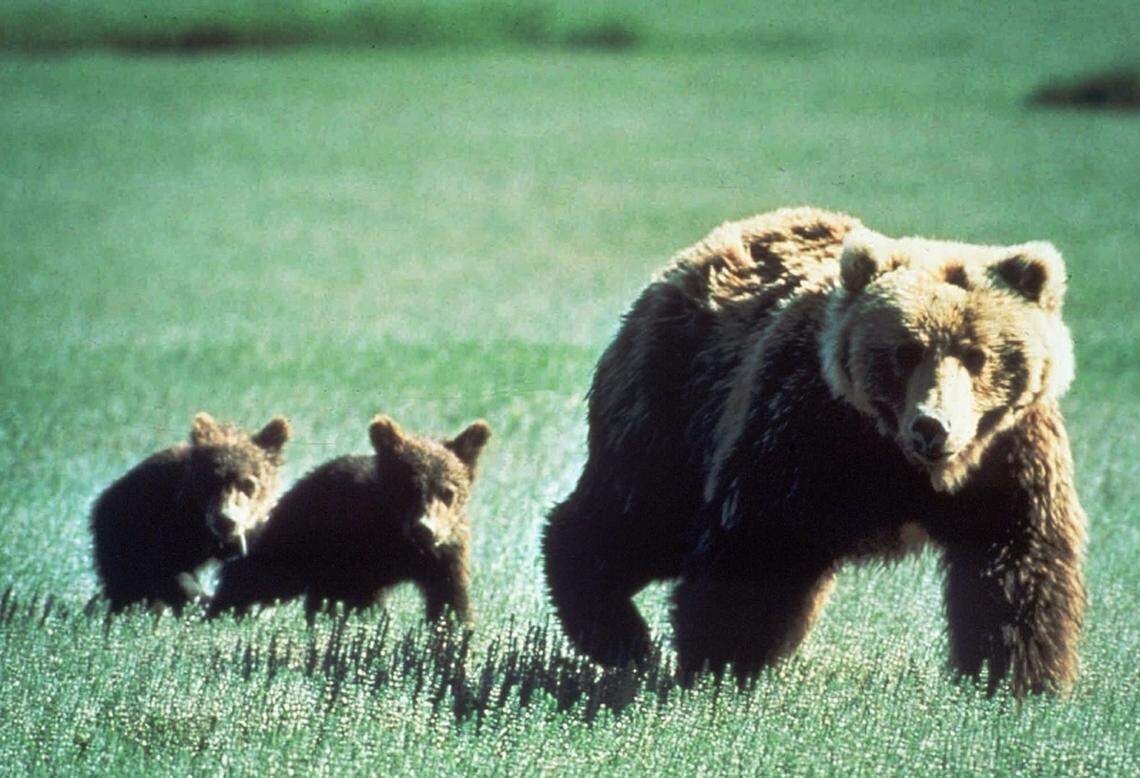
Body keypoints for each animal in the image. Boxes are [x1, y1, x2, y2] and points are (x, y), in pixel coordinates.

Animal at [91, 411, 292, 613]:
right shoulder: (174, 522)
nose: (225, 520)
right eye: (212, 480)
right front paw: (204, 602)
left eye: (248, 483)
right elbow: (168, 570)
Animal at [208, 415, 491, 625]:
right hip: (300, 536)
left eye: (448, 492)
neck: (400, 541)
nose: (425, 529)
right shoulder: (355, 544)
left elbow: (450, 599)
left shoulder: (445, 553)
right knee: (263, 571)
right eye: (409, 488)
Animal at [543, 206, 1087, 697]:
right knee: (633, 518)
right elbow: (758, 546)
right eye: (905, 351)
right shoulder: (801, 430)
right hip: (674, 405)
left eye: (978, 355)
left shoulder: (1009, 456)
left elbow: (1016, 566)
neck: (904, 466)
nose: (933, 426)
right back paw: (619, 635)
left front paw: (1017, 681)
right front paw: (721, 664)